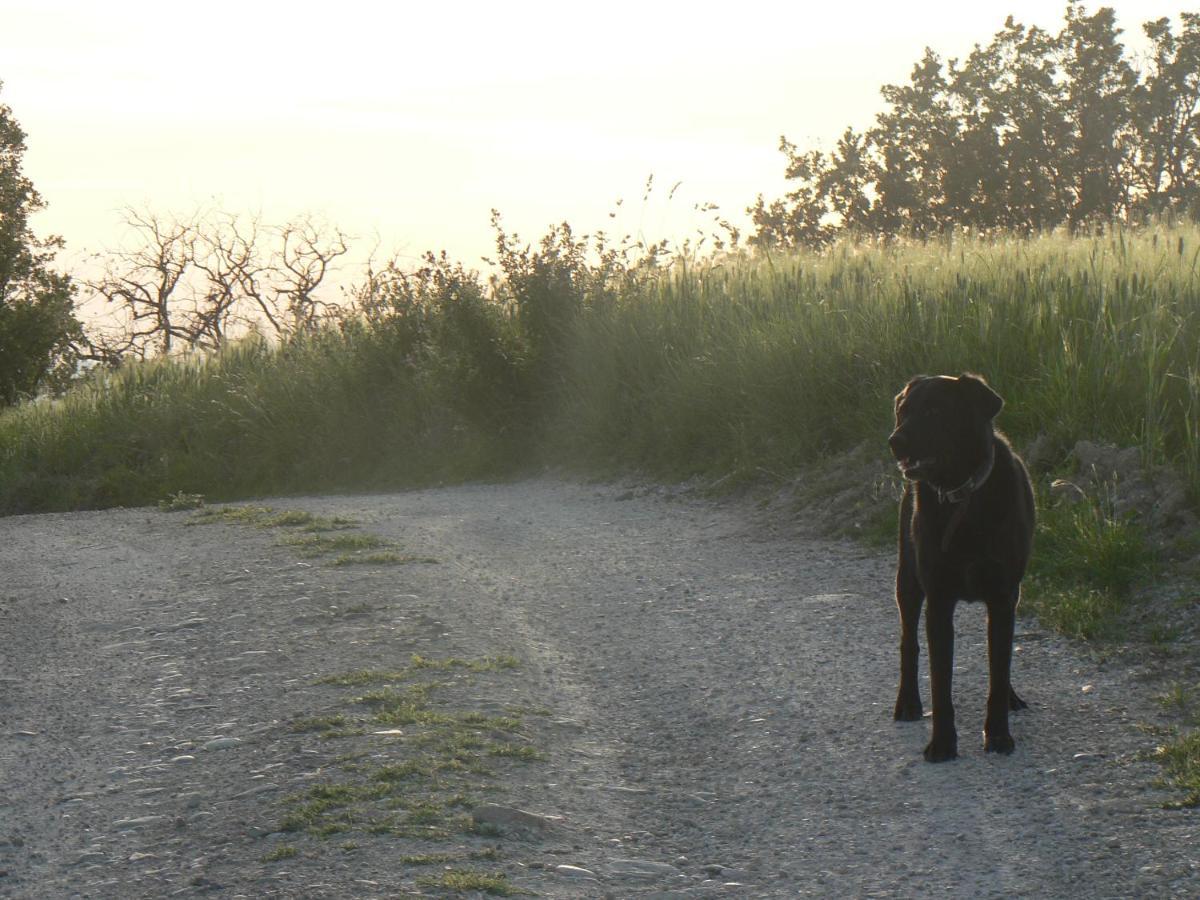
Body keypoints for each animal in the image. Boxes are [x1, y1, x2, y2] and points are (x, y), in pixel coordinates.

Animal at [888, 374, 1036, 763]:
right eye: (903, 410)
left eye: (934, 411)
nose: (895, 441)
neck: (962, 497)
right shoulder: (939, 601)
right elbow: (941, 684)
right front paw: (942, 744)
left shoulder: (1003, 597)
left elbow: (998, 669)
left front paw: (998, 735)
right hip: (907, 581)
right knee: (908, 644)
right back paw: (908, 702)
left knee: (1001, 659)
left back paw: (1011, 696)